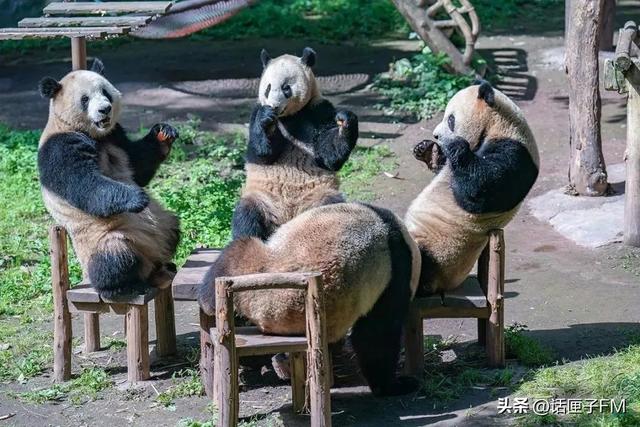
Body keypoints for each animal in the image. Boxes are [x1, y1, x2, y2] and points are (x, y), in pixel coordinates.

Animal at [37, 59, 180, 300]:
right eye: (85, 99)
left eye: (105, 92)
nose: (105, 109)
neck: (95, 135)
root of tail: (149, 261)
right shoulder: (59, 147)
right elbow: (85, 185)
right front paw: (137, 198)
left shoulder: (115, 136)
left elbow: (137, 166)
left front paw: (163, 133)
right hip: (103, 239)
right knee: (113, 260)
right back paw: (122, 287)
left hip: (162, 223)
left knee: (172, 227)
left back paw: (165, 264)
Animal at [231, 47, 360, 242]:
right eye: (268, 88)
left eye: (286, 88)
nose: (274, 107)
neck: (288, 117)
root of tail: (287, 218)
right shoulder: (256, 113)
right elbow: (262, 154)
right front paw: (266, 121)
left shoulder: (318, 110)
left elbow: (328, 155)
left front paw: (345, 122)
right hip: (262, 198)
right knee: (246, 216)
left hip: (319, 195)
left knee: (332, 210)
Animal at [404, 79, 540, 294]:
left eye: (450, 120)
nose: (436, 135)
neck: (499, 125)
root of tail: (444, 284)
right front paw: (428, 150)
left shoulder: (515, 153)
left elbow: (478, 192)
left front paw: (454, 144)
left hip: (439, 254)